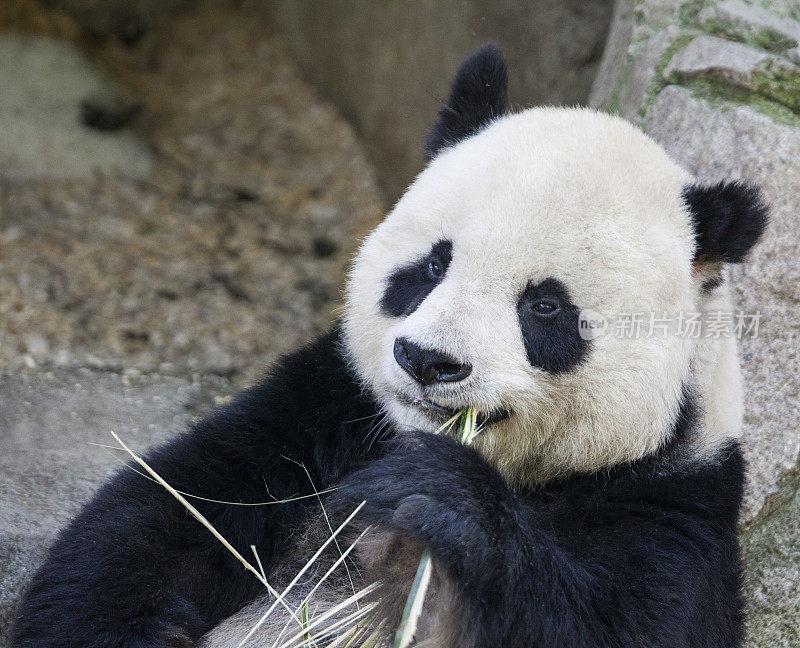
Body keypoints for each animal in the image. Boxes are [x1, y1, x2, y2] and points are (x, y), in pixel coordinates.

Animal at [9, 44, 764, 648]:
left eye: (545, 306)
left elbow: (621, 623)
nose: (429, 361)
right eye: (432, 264)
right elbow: (164, 519)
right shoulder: (324, 410)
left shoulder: (669, 503)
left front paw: (439, 498)